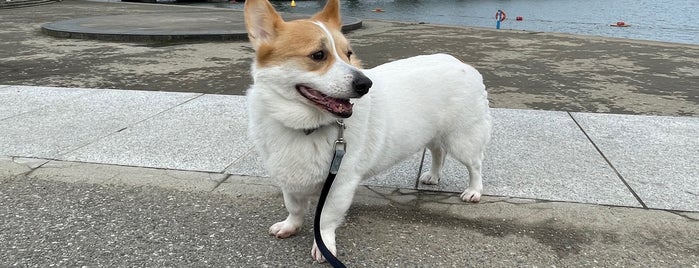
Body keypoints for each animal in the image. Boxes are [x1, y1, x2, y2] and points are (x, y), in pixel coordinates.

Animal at [245, 0, 492, 262]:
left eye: (348, 53)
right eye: (318, 55)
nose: (365, 84)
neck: (306, 126)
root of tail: (462, 64)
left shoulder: (340, 182)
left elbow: (325, 219)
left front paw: (324, 244)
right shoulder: (288, 177)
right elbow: (293, 207)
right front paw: (290, 225)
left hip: (462, 139)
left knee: (475, 165)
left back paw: (474, 191)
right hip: (433, 133)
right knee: (438, 153)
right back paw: (433, 176)